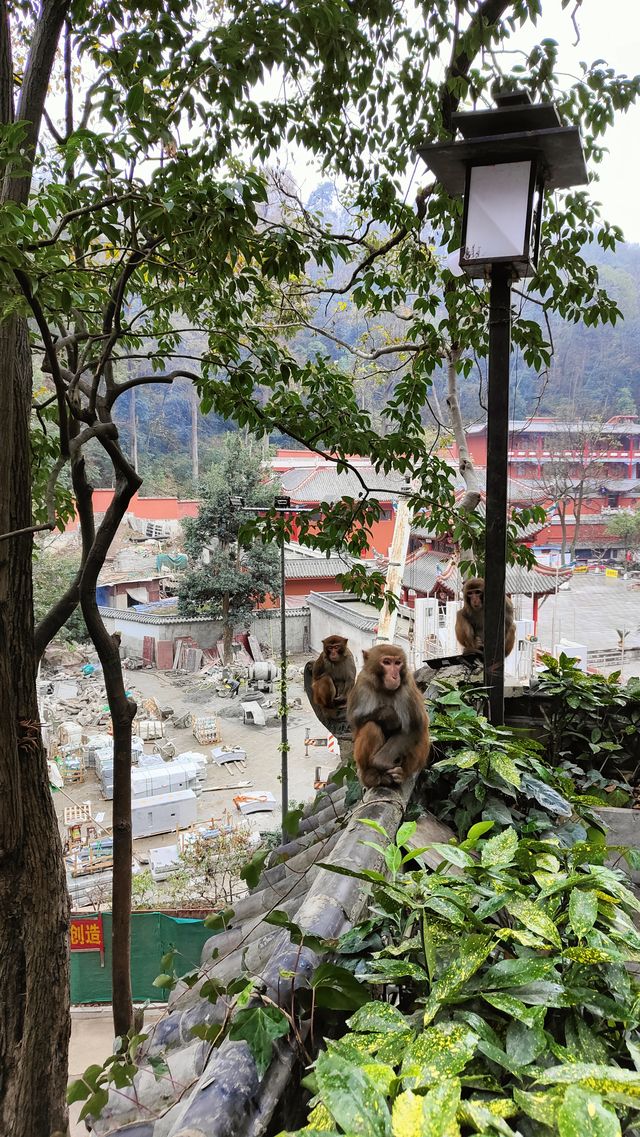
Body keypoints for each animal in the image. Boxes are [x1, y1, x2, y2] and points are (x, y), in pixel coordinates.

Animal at [345, 645, 429, 786]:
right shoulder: (362, 683)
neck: (385, 688)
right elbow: (356, 721)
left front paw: (381, 761)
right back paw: (370, 775)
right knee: (371, 727)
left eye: (397, 663)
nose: (395, 676)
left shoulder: (407, 686)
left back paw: (400, 774)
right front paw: (388, 716)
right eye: (387, 662)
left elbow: (415, 727)